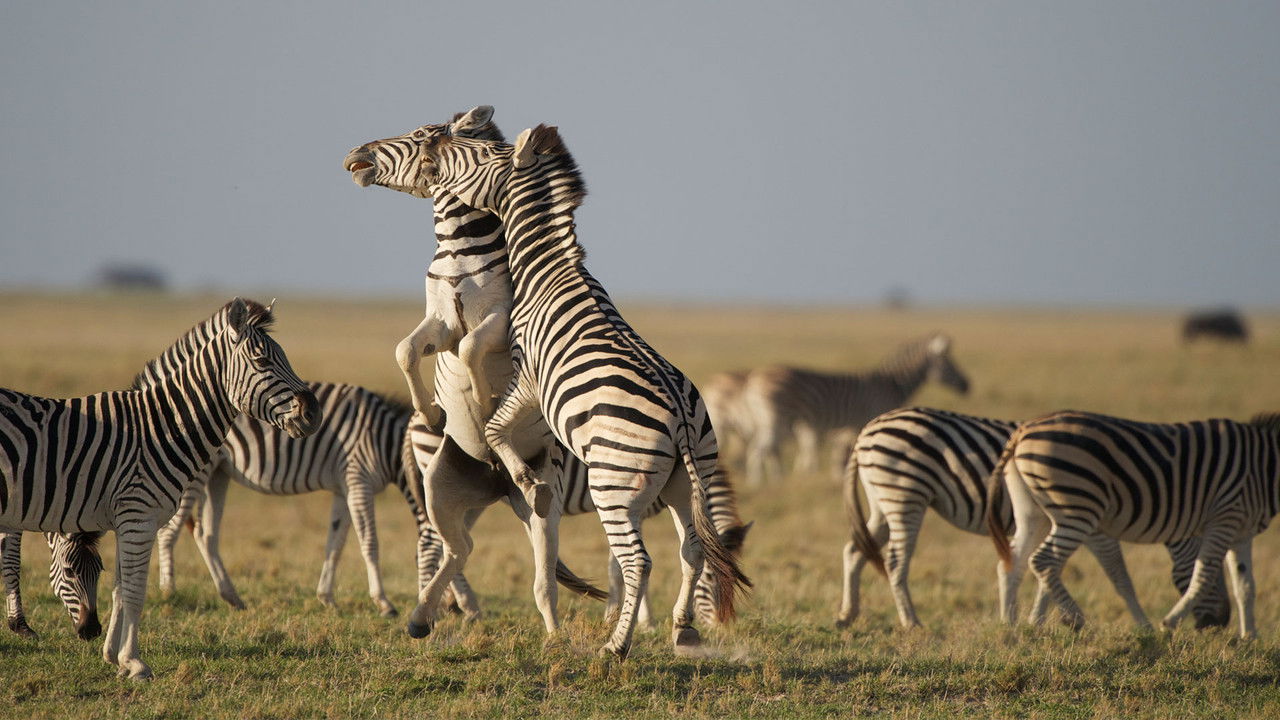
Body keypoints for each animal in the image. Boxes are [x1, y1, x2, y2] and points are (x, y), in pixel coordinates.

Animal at [0, 298, 319, 680]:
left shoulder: (125, 519)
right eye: (262, 361)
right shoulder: (139, 515)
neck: (161, 427)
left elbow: (121, 590)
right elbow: (136, 592)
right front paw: (135, 663)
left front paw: (113, 656)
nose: (314, 412)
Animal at [348, 123, 751, 658]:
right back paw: (680, 629)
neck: (548, 267)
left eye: (478, 153)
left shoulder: (529, 376)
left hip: (613, 485)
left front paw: (524, 473)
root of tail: (683, 420)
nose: (437, 143)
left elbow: (495, 424)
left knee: (636, 560)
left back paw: (614, 647)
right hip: (685, 481)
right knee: (691, 548)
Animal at [741, 333, 971, 487]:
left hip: (767, 420)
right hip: (776, 419)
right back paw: (759, 484)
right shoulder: (873, 418)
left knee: (761, 448)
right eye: (949, 365)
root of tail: (752, 380)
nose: (967, 385)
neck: (890, 385)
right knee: (758, 450)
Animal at [838, 406, 1231, 630]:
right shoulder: (1093, 526)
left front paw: (1037, 621)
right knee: (894, 560)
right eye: (1213, 576)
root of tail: (867, 430)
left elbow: (1044, 572)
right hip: (905, 495)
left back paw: (848, 615)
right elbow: (1112, 572)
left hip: (882, 500)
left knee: (855, 550)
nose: (1221, 624)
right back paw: (911, 622)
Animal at [987, 410, 1280, 638]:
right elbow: (1203, 573)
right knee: (1043, 560)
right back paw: (1077, 620)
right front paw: (1169, 623)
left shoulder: (1242, 530)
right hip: (1077, 509)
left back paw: (1012, 627)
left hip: (1032, 513)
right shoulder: (1225, 515)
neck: (1264, 467)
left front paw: (1250, 638)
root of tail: (1022, 431)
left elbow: (1246, 585)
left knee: (1013, 561)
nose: (1217, 624)